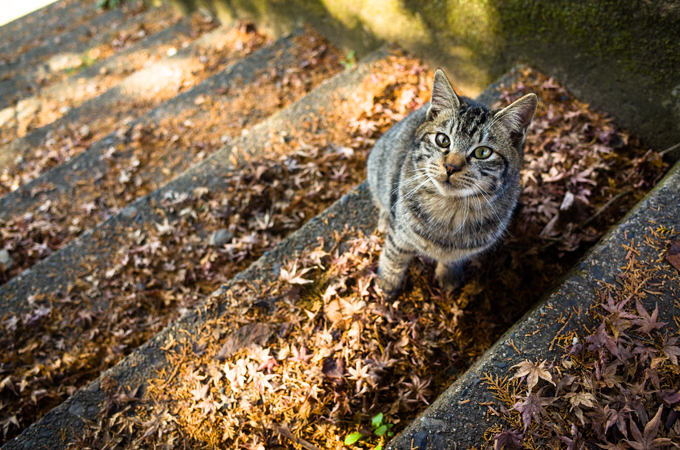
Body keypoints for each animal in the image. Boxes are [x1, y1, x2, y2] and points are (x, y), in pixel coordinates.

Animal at [366, 69, 536, 296]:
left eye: (483, 152)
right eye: (443, 140)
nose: (451, 167)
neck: (450, 208)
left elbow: (453, 258)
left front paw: (448, 274)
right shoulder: (400, 233)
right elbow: (394, 255)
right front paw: (387, 282)